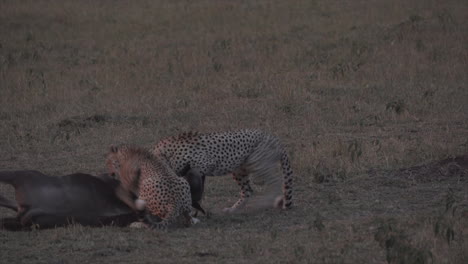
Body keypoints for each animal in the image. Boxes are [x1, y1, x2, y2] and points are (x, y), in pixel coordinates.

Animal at [153, 128, 292, 212]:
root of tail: (275, 138)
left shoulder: (205, 164)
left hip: (256, 162)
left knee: (275, 181)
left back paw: (266, 202)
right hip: (238, 170)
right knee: (248, 191)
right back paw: (233, 209)